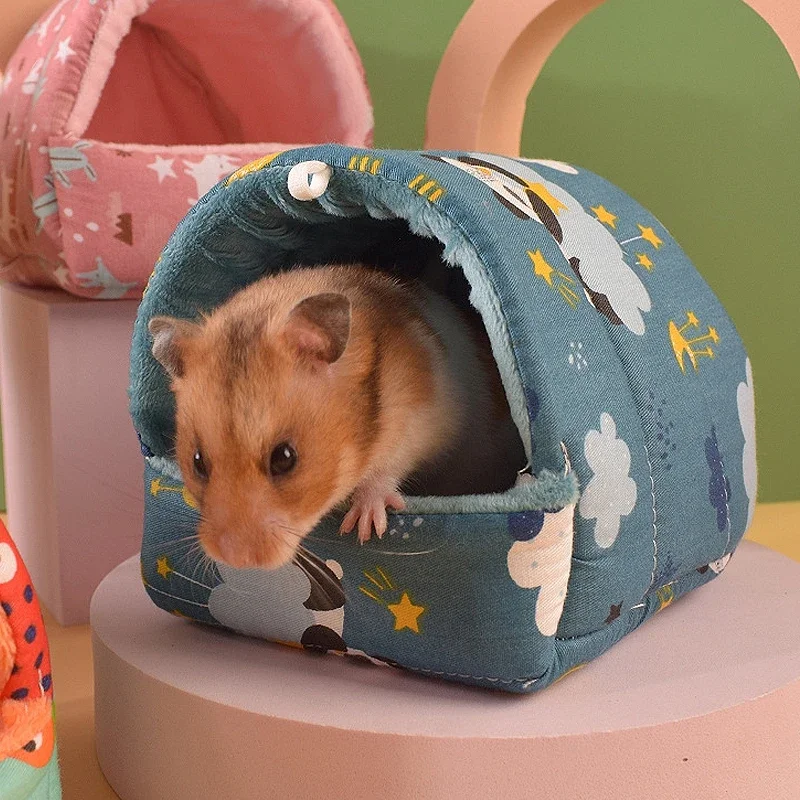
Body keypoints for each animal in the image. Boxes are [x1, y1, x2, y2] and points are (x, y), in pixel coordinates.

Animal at [149, 264, 526, 570]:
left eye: (285, 458)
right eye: (197, 462)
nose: (234, 559)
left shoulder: (417, 420)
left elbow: (386, 470)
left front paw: (363, 529)